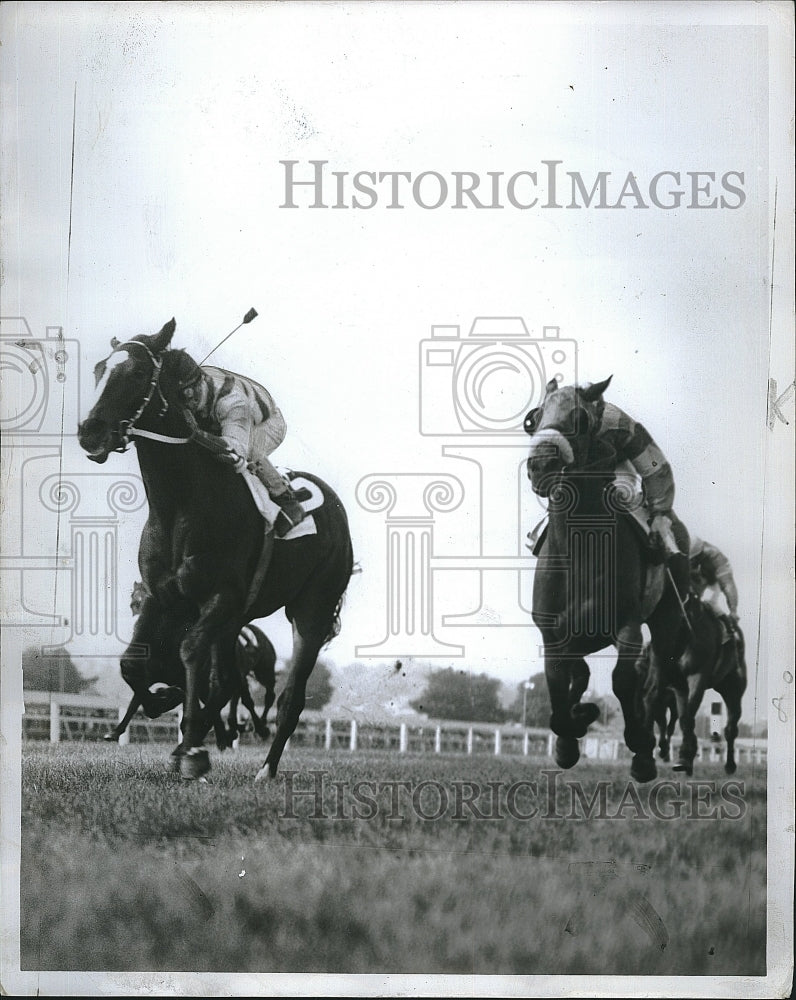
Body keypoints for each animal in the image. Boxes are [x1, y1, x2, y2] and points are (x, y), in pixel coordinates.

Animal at [78, 320, 352, 780]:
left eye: (137, 373)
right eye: (98, 370)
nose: (89, 432)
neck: (180, 507)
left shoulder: (220, 596)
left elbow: (189, 654)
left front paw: (192, 748)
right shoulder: (162, 597)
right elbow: (134, 663)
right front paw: (167, 709)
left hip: (310, 610)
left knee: (289, 697)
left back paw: (264, 768)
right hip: (238, 619)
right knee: (226, 683)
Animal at [524, 376, 688, 780]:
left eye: (581, 419)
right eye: (534, 419)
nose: (541, 464)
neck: (579, 553)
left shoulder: (627, 625)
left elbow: (623, 681)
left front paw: (640, 748)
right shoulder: (553, 633)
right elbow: (559, 682)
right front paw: (571, 735)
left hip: (667, 622)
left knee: (655, 678)